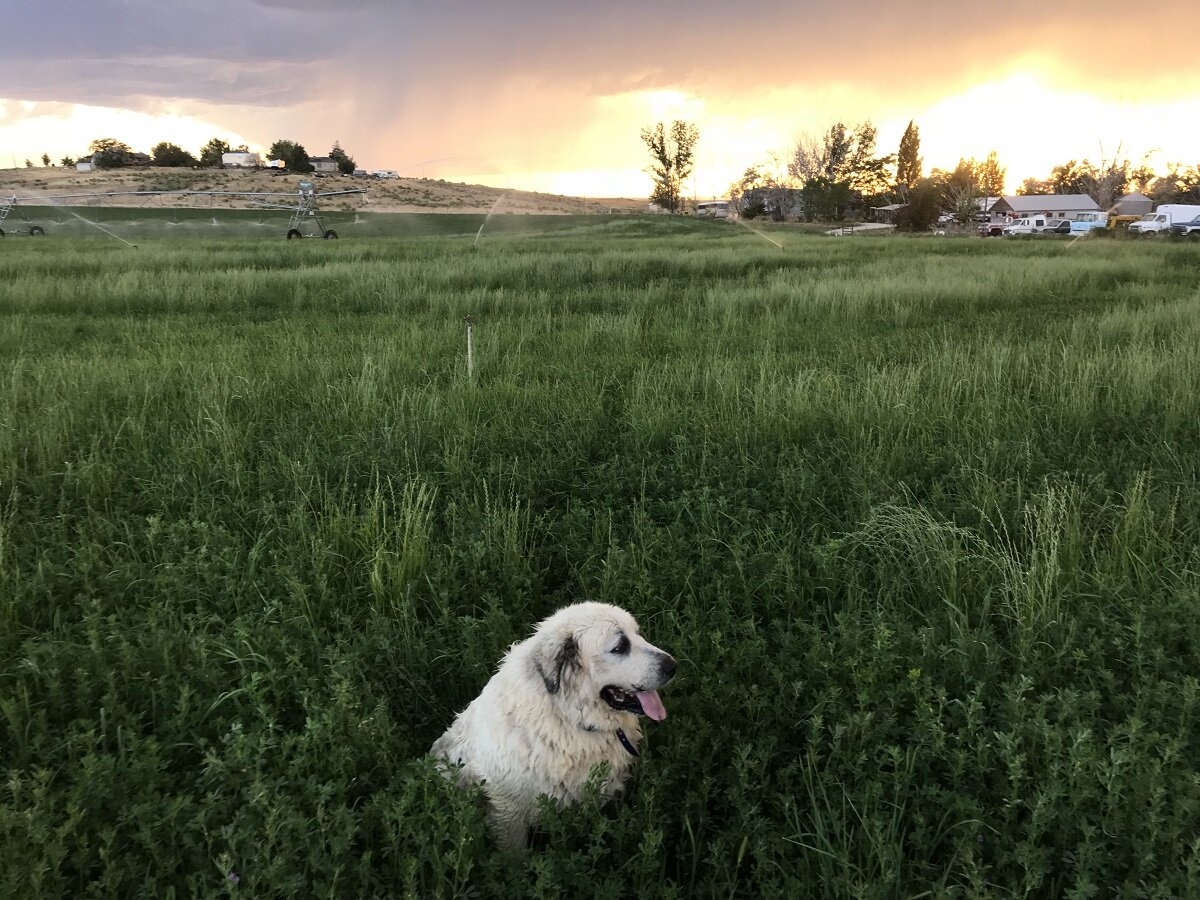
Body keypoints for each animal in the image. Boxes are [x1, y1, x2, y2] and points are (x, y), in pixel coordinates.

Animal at [429, 602, 676, 849]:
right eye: (620, 646)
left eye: (638, 634)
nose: (673, 666)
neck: (566, 717)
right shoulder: (508, 811)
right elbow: (514, 853)